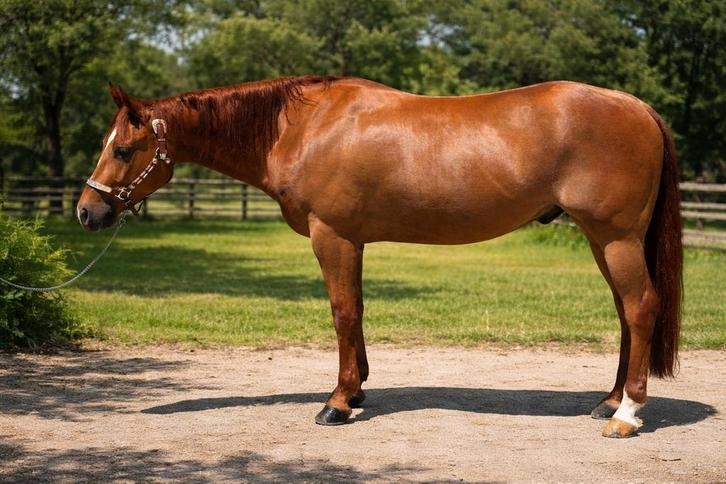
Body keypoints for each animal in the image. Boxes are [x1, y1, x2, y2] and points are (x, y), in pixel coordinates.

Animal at [77, 76, 682, 438]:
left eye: (123, 149)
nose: (88, 212)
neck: (304, 127)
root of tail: (638, 107)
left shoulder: (333, 236)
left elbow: (342, 313)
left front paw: (337, 402)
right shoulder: (354, 241)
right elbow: (359, 311)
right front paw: (360, 388)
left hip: (615, 237)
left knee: (640, 308)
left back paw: (627, 415)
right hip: (603, 240)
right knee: (626, 314)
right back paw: (608, 401)